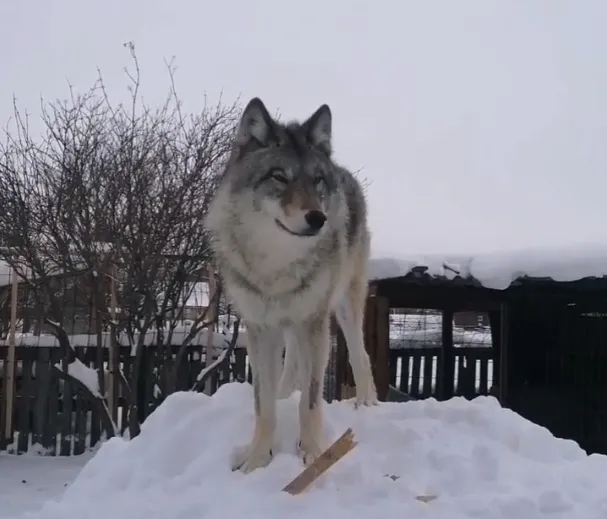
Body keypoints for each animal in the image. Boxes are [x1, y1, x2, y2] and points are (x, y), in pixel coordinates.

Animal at [207, 98, 378, 476]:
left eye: (316, 181)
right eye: (279, 177)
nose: (318, 219)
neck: (277, 265)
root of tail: (343, 170)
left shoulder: (313, 322)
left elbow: (311, 402)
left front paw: (313, 456)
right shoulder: (261, 328)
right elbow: (264, 406)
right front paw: (256, 460)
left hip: (343, 307)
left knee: (360, 354)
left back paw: (367, 402)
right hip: (291, 324)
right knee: (293, 364)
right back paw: (286, 393)